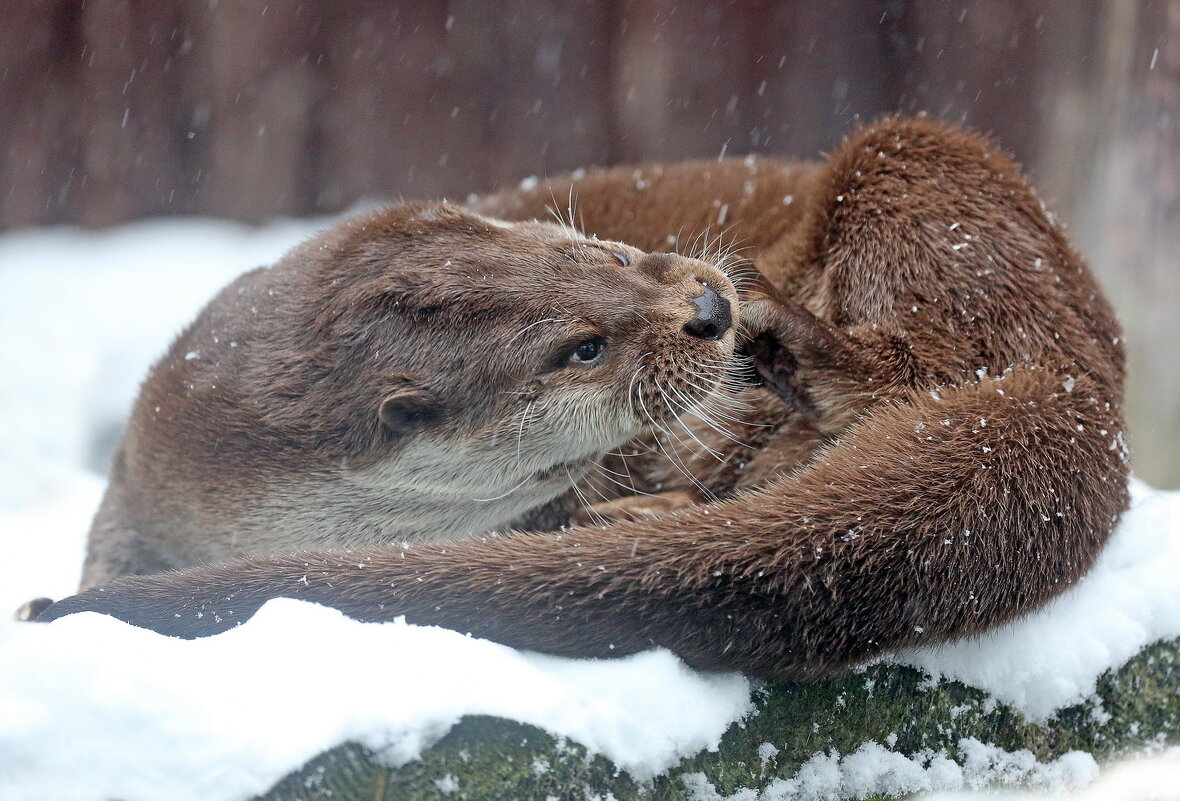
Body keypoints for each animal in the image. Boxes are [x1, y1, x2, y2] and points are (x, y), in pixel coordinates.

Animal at [36, 117, 1128, 684]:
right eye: (581, 348)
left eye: (605, 254)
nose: (707, 306)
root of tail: (1090, 388)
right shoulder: (131, 511)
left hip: (926, 167)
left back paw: (777, 342)